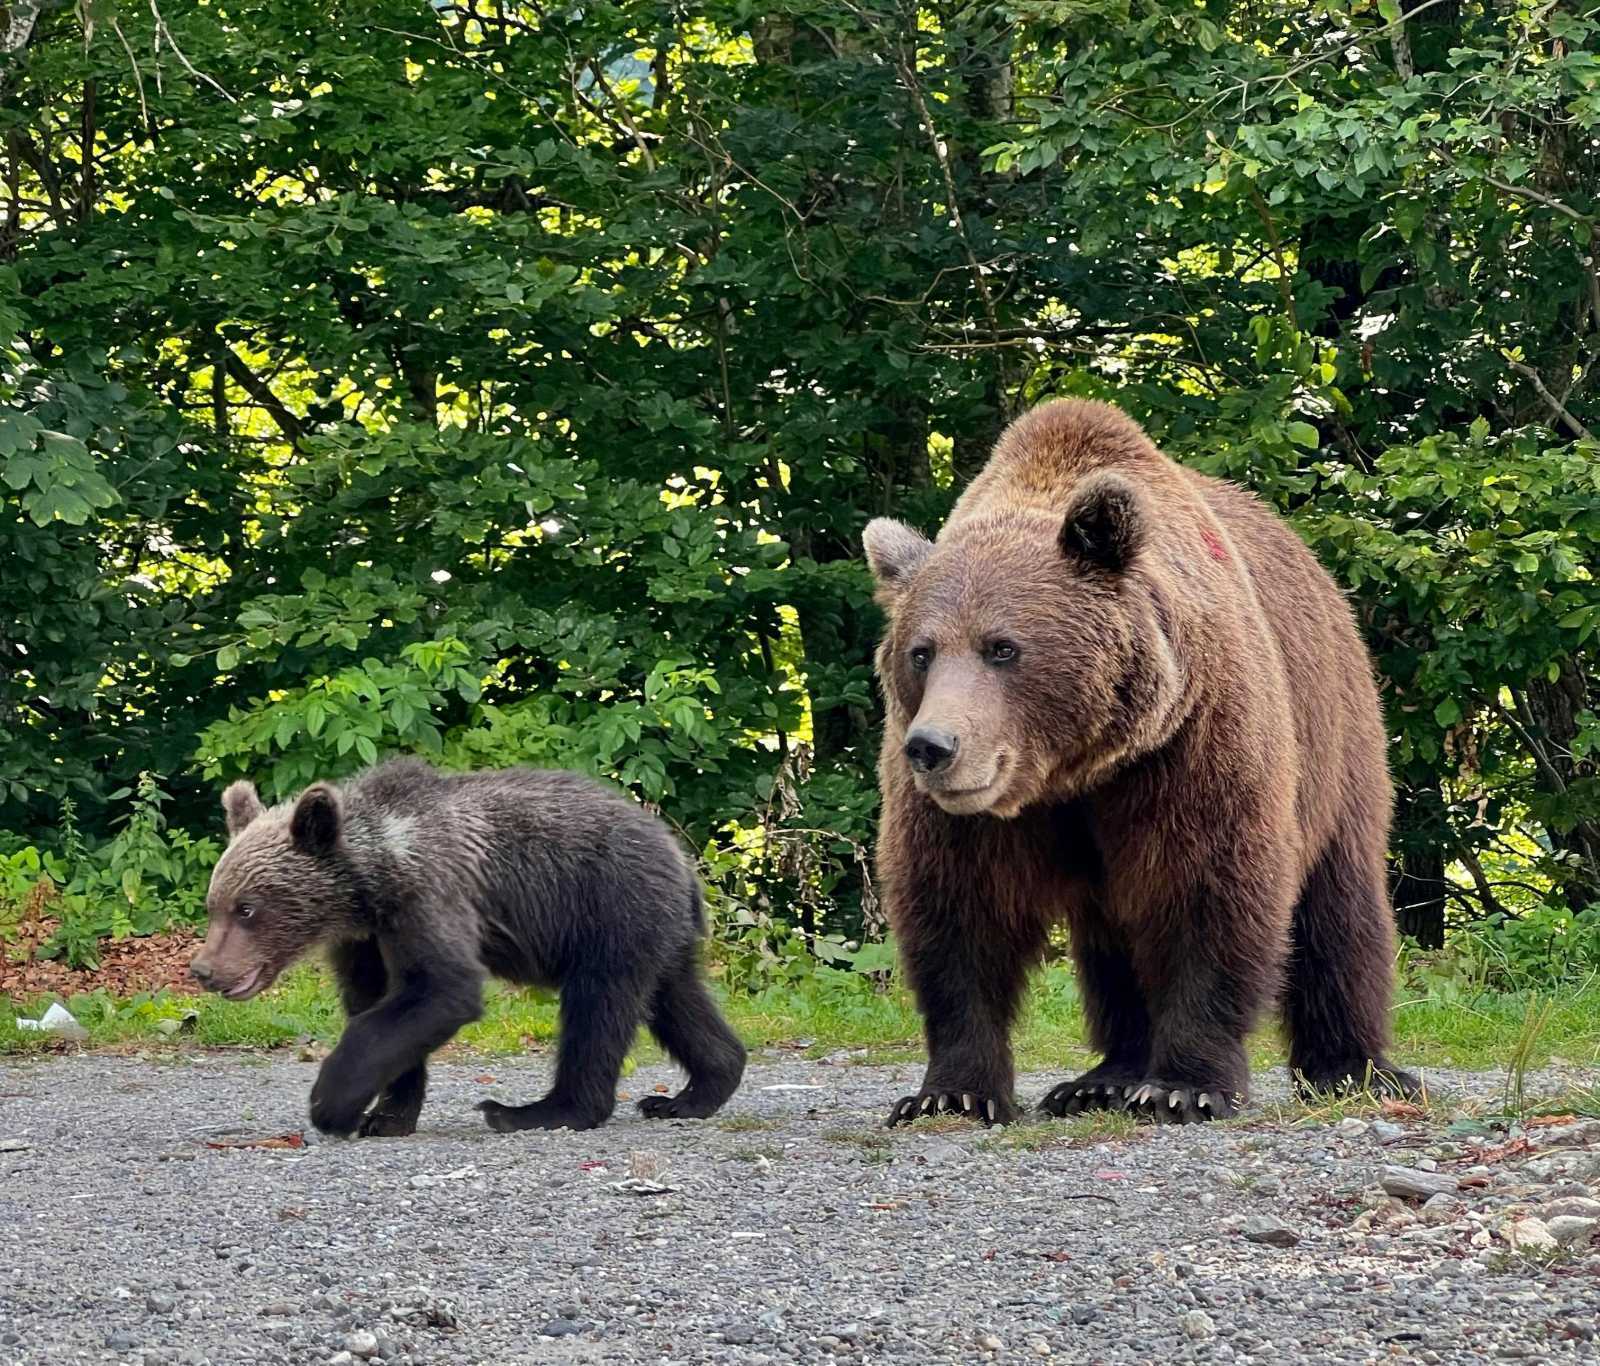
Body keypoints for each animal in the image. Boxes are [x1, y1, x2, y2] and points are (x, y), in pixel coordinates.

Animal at [870, 401, 1420, 1126]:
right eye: (921, 652)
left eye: (1003, 647)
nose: (934, 747)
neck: (1077, 769)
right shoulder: (972, 816)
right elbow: (960, 913)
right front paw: (951, 1092)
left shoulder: (1192, 743)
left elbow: (1208, 889)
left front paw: (1185, 1085)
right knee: (1114, 938)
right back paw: (1101, 1078)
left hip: (1336, 738)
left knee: (1339, 910)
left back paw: (1355, 1068)